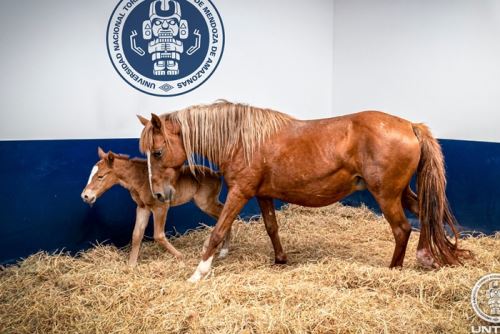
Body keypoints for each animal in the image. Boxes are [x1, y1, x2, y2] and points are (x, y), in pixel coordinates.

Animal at [81, 146, 231, 266]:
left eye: (100, 176)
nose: (85, 196)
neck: (140, 179)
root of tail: (216, 174)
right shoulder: (143, 207)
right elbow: (137, 234)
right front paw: (131, 265)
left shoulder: (160, 207)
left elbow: (158, 235)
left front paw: (181, 256)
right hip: (207, 203)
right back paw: (223, 248)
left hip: (205, 203)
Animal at [139, 100, 466, 282]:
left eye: (157, 152)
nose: (158, 195)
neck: (241, 139)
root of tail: (411, 125)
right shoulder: (263, 194)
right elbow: (272, 227)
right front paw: (280, 259)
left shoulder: (240, 193)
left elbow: (218, 231)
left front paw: (199, 272)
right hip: (401, 193)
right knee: (425, 215)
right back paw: (426, 257)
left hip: (386, 195)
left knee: (401, 229)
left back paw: (394, 269)